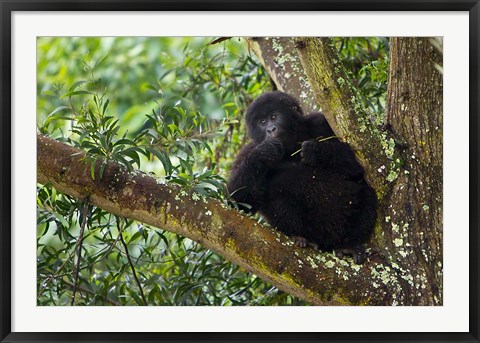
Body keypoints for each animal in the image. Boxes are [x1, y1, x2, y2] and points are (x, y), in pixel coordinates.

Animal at [229, 90, 378, 264]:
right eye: (262, 122)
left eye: (274, 117)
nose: (271, 129)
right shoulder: (247, 152)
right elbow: (238, 201)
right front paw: (264, 152)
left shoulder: (320, 122)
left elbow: (357, 166)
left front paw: (315, 151)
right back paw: (300, 237)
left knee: (366, 192)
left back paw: (348, 244)